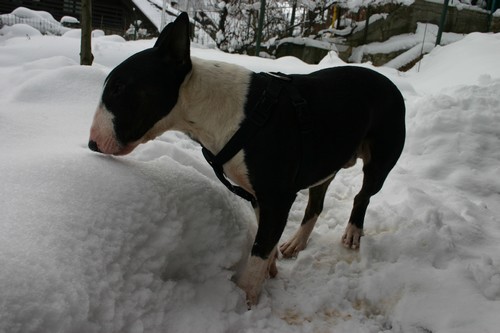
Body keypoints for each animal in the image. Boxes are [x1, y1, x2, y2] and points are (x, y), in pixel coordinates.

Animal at [88, 12, 404, 304]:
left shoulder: (277, 197)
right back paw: (296, 243)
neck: (214, 110)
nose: (92, 143)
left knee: (362, 195)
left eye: (118, 88)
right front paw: (270, 269)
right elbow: (265, 237)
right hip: (326, 162)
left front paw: (246, 297)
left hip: (379, 161)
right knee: (316, 203)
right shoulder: (255, 195)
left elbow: (260, 248)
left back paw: (352, 232)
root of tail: (387, 81)